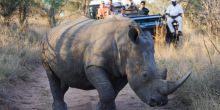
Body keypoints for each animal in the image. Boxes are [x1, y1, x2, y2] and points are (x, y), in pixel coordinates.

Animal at [41, 15, 191, 110]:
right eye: (144, 75)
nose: (160, 102)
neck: (126, 43)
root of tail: (52, 29)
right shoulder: (94, 65)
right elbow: (107, 91)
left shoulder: (123, 69)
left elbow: (113, 91)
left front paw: (106, 108)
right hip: (45, 44)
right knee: (51, 75)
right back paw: (59, 108)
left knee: (64, 77)